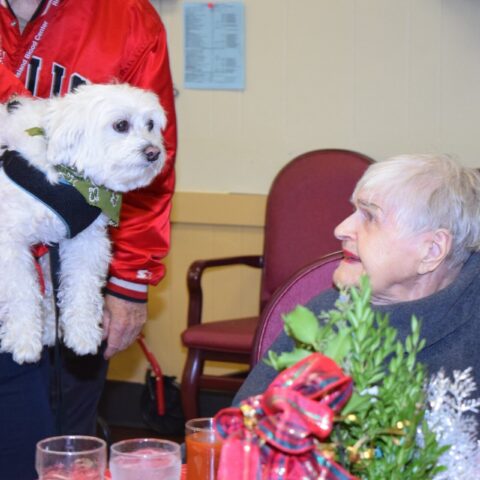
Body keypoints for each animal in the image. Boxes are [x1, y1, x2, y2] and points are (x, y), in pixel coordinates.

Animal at [0, 83, 167, 364]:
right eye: (121, 125)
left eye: (151, 124)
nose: (154, 153)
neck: (69, 177)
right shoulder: (9, 243)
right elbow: (20, 291)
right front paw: (23, 339)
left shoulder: (85, 243)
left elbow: (83, 289)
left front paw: (83, 333)